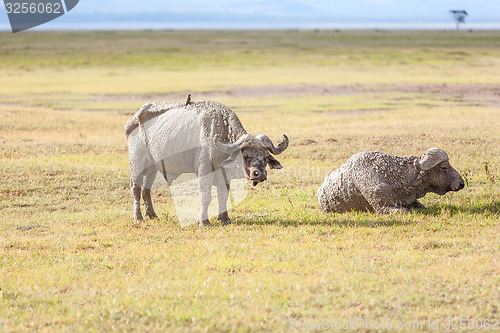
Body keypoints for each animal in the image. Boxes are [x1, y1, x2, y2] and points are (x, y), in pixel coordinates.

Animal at [125, 100, 290, 224]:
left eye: (265, 157)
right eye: (246, 156)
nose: (259, 174)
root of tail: (133, 120)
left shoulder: (225, 176)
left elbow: (223, 195)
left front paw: (225, 219)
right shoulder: (204, 172)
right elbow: (206, 196)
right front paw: (203, 221)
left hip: (152, 167)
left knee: (146, 189)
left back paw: (152, 215)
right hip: (136, 163)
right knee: (135, 188)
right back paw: (138, 217)